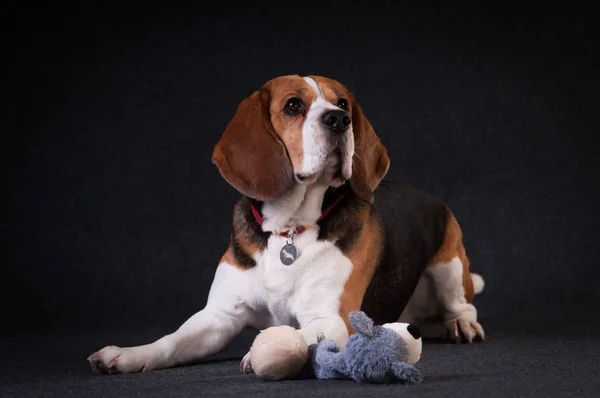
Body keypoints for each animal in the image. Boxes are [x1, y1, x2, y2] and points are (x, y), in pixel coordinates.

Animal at [86, 75, 486, 376]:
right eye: (293, 106)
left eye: (343, 104)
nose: (339, 120)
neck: (290, 228)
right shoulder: (220, 315)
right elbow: (171, 342)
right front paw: (129, 355)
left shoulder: (334, 318)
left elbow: (301, 333)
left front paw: (263, 351)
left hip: (450, 264)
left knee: (461, 303)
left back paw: (461, 324)